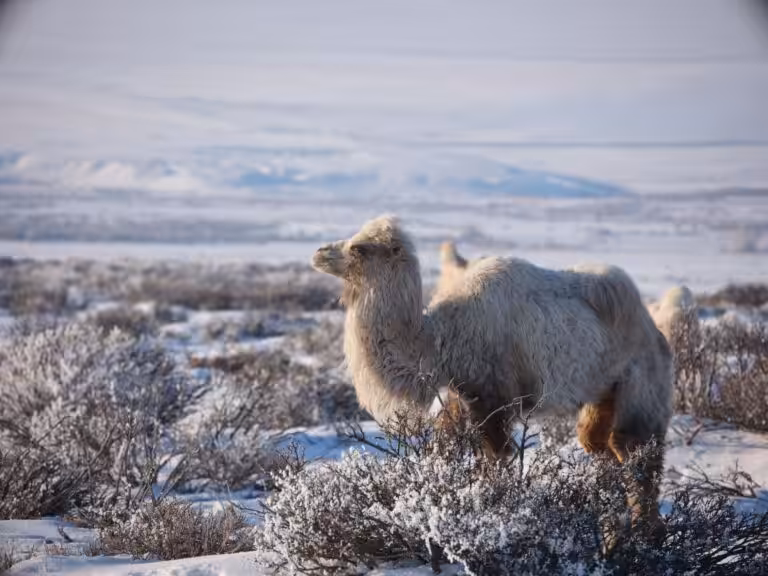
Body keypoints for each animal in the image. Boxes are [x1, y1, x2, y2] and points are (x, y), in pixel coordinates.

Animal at [312, 216, 673, 526]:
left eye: (359, 247)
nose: (319, 253)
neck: (441, 339)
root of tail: (657, 333)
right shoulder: (460, 394)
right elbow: (446, 452)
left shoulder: (492, 396)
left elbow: (494, 457)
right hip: (602, 391)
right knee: (598, 443)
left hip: (643, 383)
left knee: (635, 450)